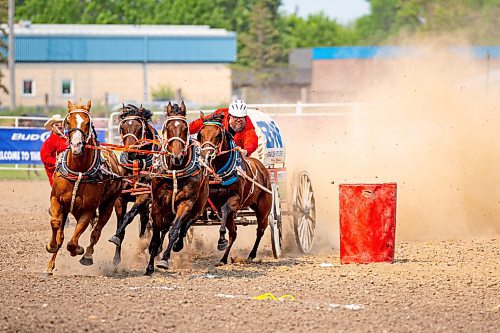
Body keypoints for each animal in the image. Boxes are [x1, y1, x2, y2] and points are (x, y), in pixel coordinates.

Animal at [44, 100, 124, 274]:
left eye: (87, 123)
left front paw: (78, 250)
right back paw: (50, 265)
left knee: (96, 232)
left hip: (110, 204)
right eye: (68, 122)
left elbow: (73, 242)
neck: (78, 171)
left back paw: (87, 255)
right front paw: (51, 246)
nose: (76, 145)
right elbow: (56, 225)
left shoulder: (87, 210)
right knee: (63, 233)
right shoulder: (56, 200)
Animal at [109, 104, 158, 264]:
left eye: (139, 127)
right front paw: (116, 258)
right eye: (123, 127)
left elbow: (129, 216)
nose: (130, 152)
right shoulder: (120, 199)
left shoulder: (143, 196)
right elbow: (121, 225)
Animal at [145, 101, 209, 274]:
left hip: (198, 205)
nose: (177, 156)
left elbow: (175, 231)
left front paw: (164, 260)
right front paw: (150, 266)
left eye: (185, 128)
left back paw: (177, 245)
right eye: (167, 128)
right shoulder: (157, 203)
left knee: (186, 224)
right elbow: (156, 235)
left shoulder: (186, 203)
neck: (174, 170)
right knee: (165, 228)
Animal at [197, 113, 272, 264]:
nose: (206, 155)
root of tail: (262, 168)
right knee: (234, 232)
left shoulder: (234, 200)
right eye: (201, 134)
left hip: (264, 208)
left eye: (218, 135)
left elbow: (225, 209)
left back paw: (251, 255)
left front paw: (221, 240)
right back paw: (223, 258)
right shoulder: (209, 200)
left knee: (260, 230)